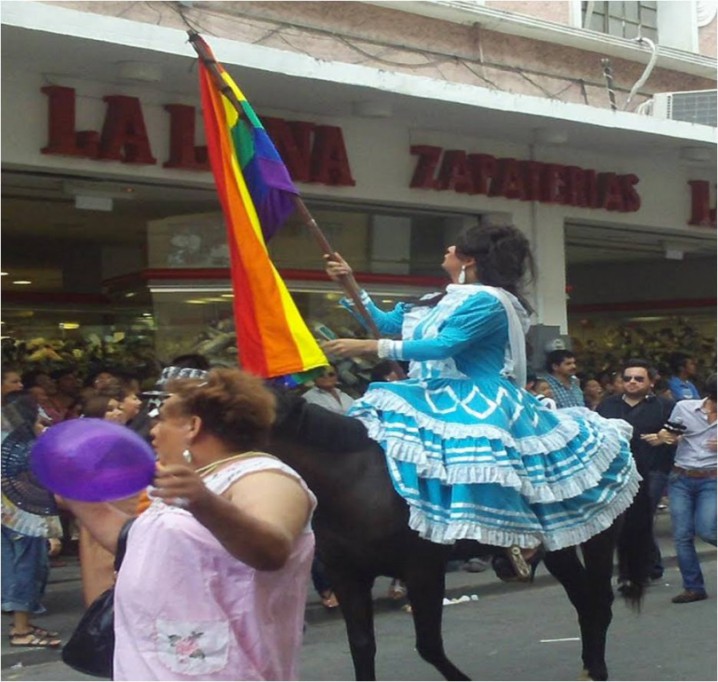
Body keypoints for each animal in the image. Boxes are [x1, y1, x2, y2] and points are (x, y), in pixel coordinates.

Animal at [268, 390, 652, 676]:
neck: (355, 481)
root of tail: (616, 427)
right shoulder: (346, 574)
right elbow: (362, 646)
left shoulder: (423, 570)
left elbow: (429, 646)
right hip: (562, 545)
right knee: (585, 601)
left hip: (599, 535)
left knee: (599, 601)